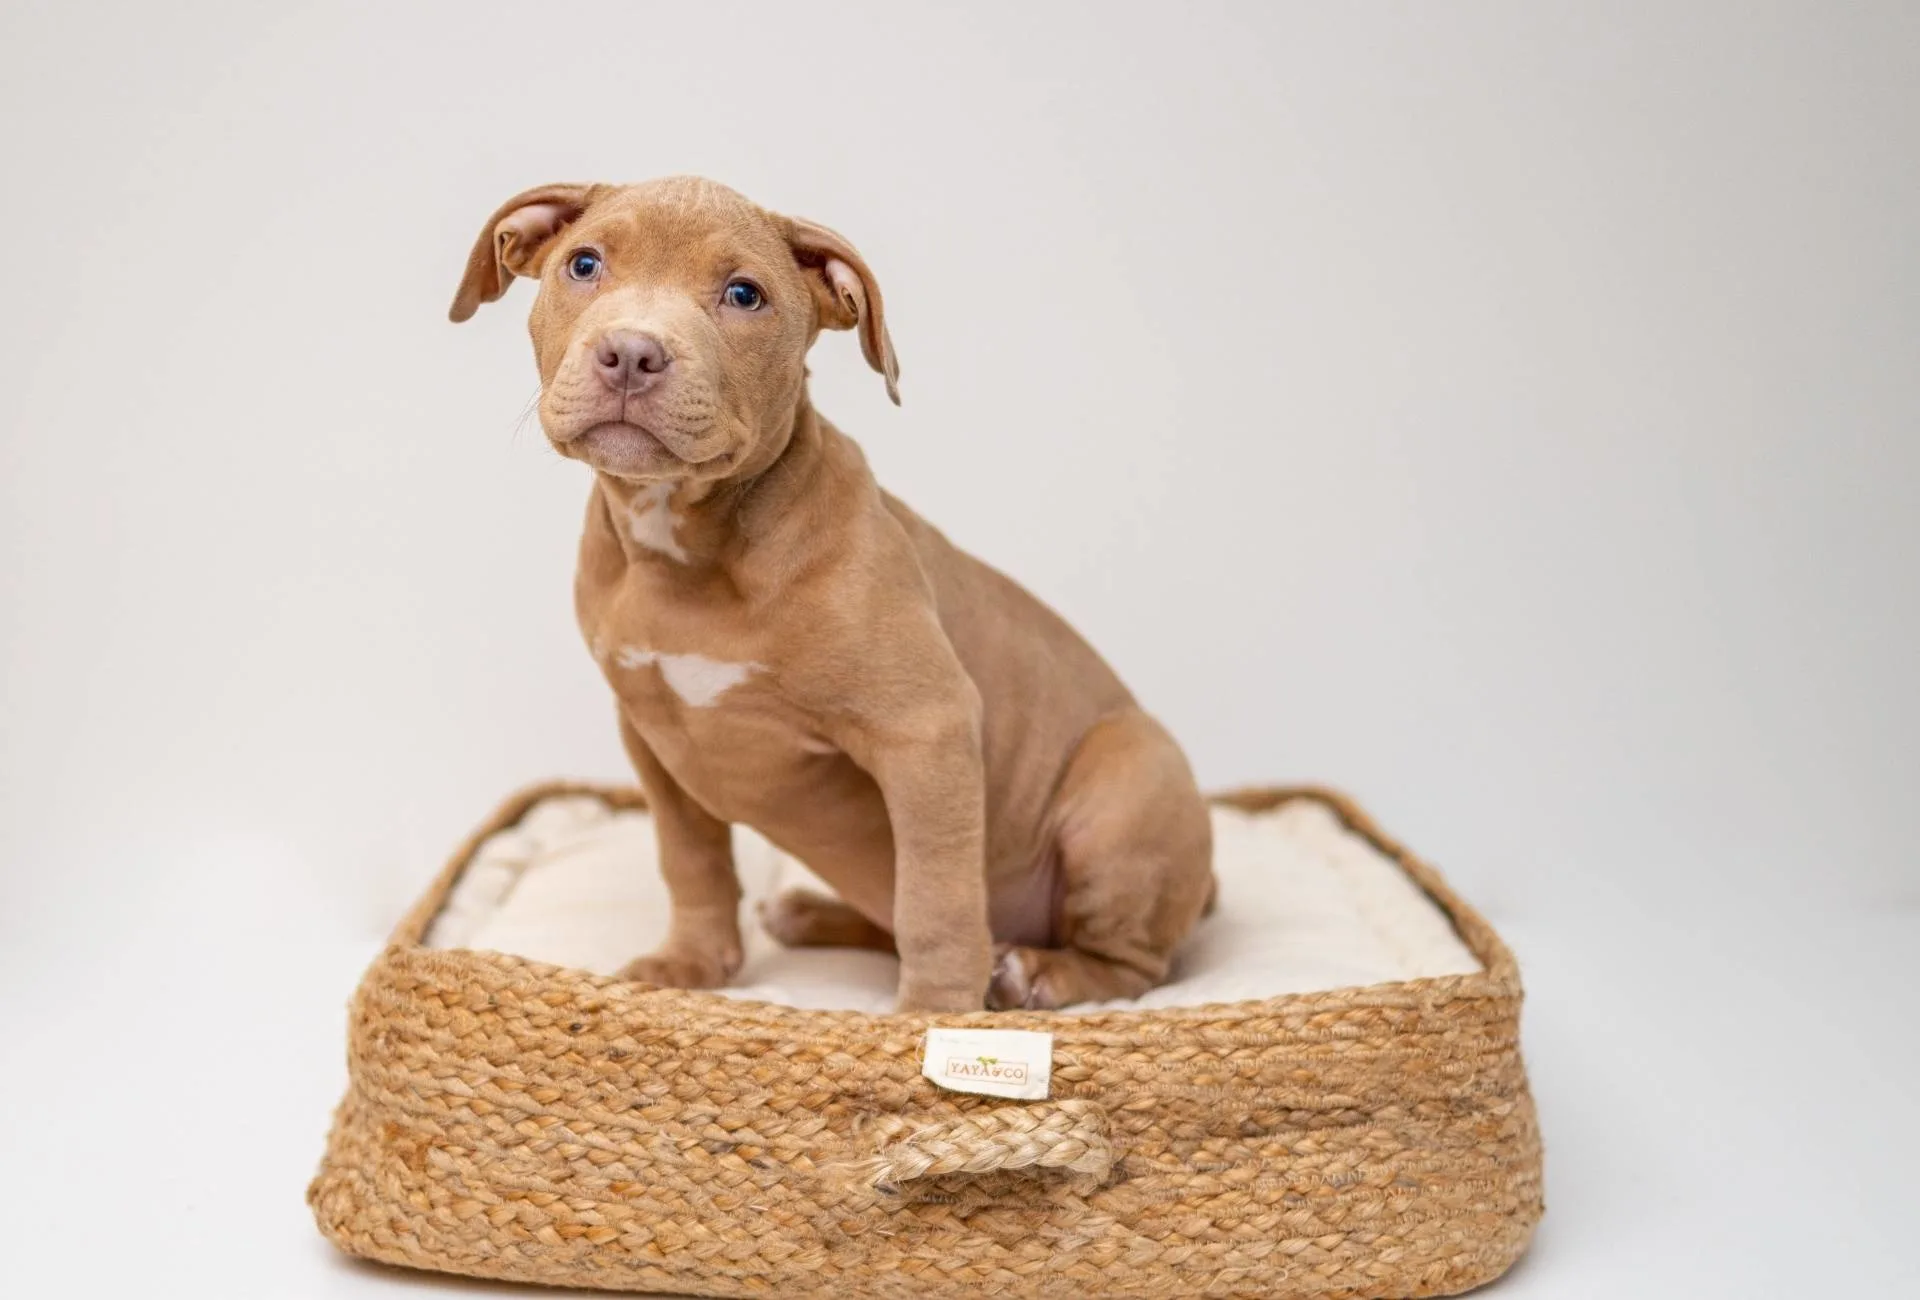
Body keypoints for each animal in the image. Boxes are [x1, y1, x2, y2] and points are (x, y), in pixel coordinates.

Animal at [445, 177, 1213, 1006]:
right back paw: (812, 913)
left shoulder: (927, 730)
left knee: (1130, 964)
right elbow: (692, 859)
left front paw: (933, 1011)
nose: (632, 353)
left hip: (1129, 781)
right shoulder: (650, 737)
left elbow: (936, 897)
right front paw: (690, 964)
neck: (686, 548)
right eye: (584, 265)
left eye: (744, 294)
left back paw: (1039, 972)